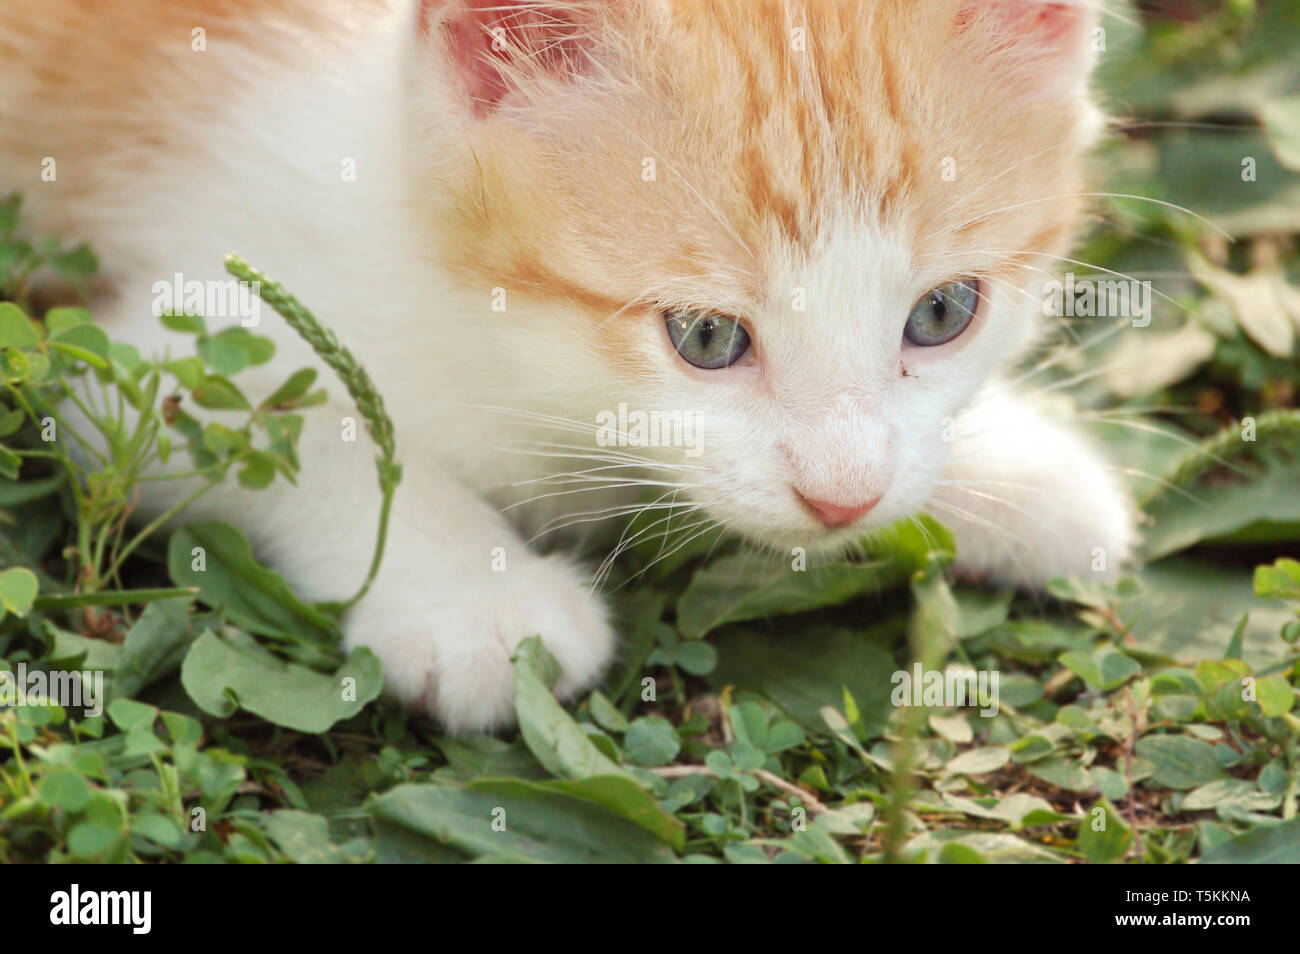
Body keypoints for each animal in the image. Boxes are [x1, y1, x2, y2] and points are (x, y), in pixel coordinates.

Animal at [0, 0, 1138, 733]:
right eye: (705, 338)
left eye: (943, 314)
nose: (841, 498)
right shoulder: (148, 355)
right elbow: (296, 424)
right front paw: (472, 596)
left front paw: (1012, 470)